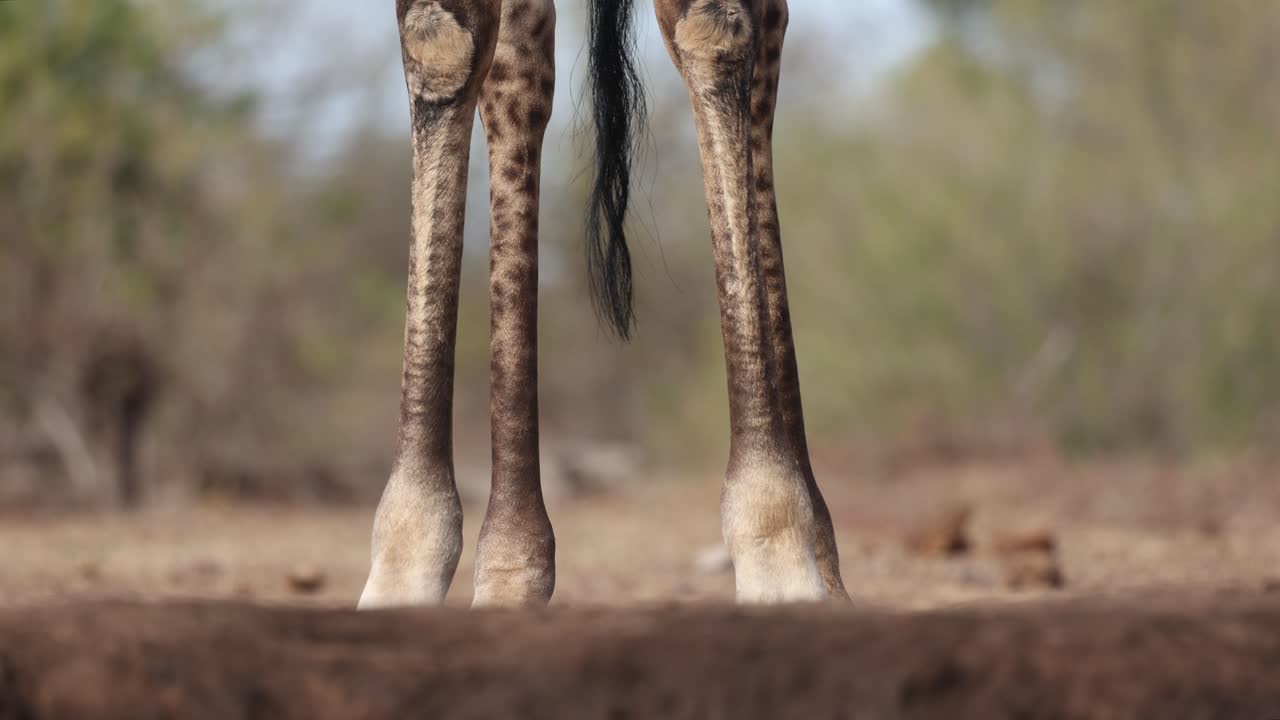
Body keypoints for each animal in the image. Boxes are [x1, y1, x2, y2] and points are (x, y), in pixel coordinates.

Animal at [359, 0, 849, 608]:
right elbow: (441, 41)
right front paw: (410, 567)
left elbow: (714, 30)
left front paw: (777, 557)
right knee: (516, 65)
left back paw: (817, 562)